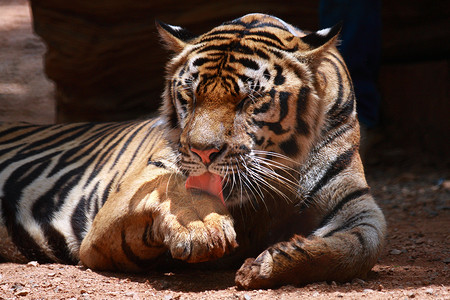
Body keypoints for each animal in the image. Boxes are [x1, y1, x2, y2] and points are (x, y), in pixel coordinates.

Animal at [0, 13, 386, 288]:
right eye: (190, 95)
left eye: (248, 100)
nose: (203, 153)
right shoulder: (113, 214)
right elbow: (173, 188)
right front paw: (201, 227)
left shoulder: (356, 204)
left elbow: (362, 247)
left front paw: (272, 262)